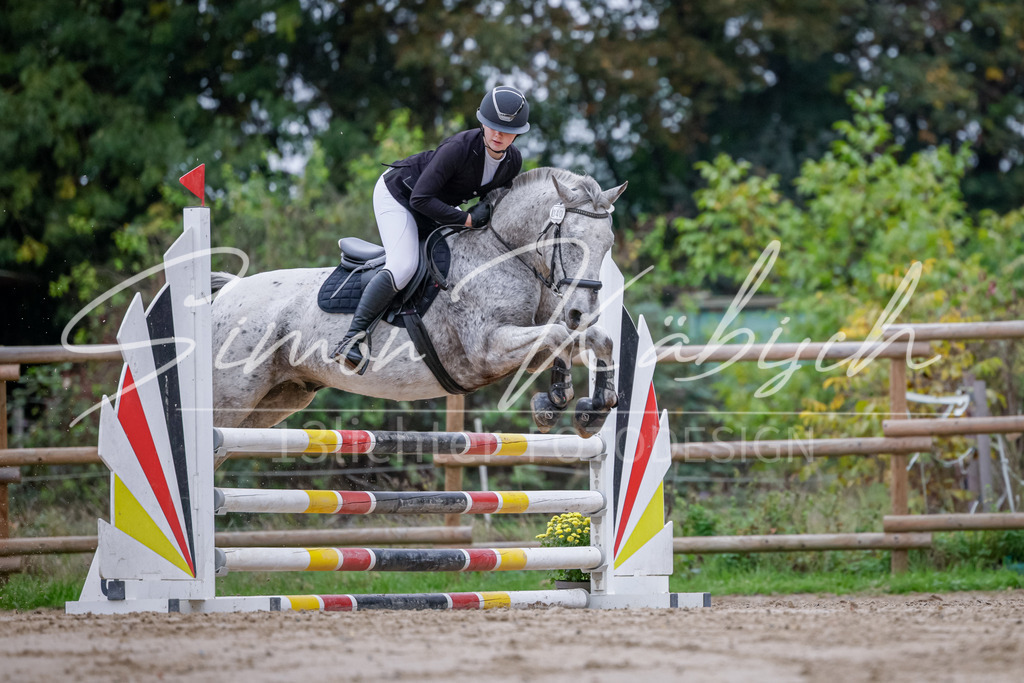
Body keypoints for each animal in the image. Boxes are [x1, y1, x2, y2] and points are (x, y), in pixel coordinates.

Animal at [209, 167, 626, 438]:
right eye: (569, 242)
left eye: (608, 244)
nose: (584, 312)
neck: (502, 254)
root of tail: (229, 293)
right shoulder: (487, 350)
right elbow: (558, 334)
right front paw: (554, 402)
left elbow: (590, 338)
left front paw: (591, 409)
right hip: (231, 397)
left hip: (278, 398)